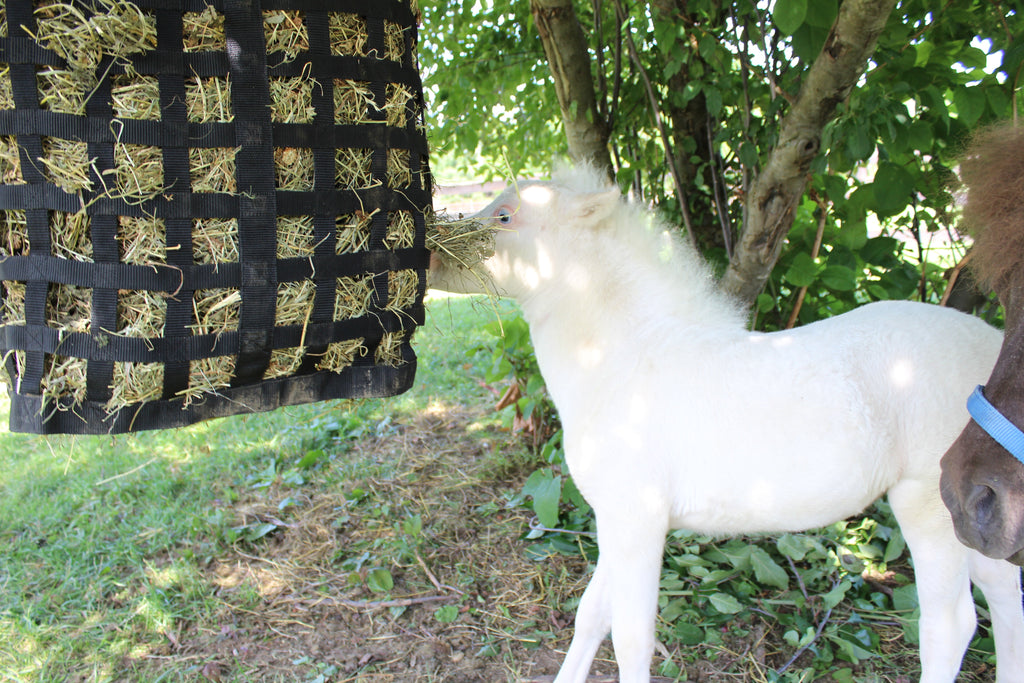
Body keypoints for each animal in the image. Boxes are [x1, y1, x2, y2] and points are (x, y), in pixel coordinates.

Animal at [429, 165, 1024, 683]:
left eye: (505, 216)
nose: (430, 256)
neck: (620, 360)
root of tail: (991, 344)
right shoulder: (616, 523)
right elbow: (590, 617)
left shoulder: (637, 521)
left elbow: (630, 638)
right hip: (976, 526)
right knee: (1006, 598)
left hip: (932, 509)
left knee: (951, 626)